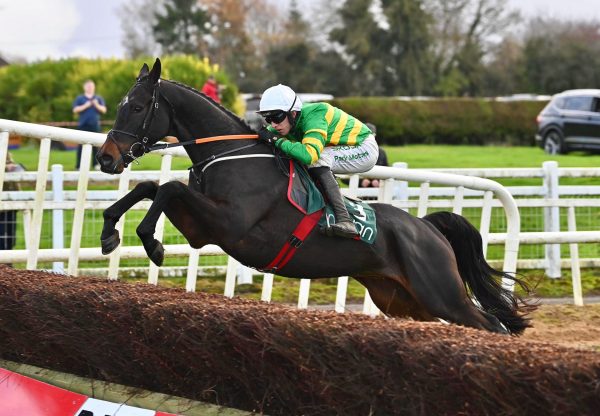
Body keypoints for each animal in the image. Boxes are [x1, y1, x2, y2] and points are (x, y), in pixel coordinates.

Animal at [96, 59, 532, 334]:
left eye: (137, 106)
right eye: (119, 105)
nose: (106, 157)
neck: (231, 154)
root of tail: (427, 228)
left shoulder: (226, 224)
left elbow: (168, 188)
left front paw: (151, 243)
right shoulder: (203, 226)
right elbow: (150, 188)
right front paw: (109, 232)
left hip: (441, 292)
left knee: (491, 325)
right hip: (405, 301)